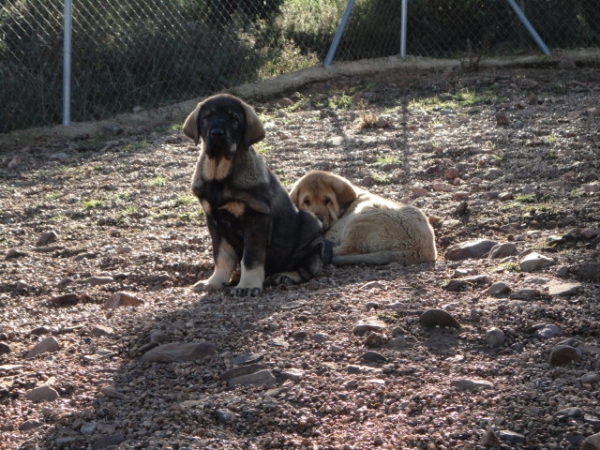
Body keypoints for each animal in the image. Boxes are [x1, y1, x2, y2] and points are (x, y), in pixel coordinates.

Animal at [184, 93, 330, 298]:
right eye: (207, 117)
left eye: (234, 119)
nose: (217, 133)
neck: (220, 176)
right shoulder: (214, 220)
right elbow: (221, 256)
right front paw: (214, 282)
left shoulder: (255, 218)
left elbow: (251, 258)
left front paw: (247, 285)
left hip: (310, 227)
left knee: (306, 270)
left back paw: (285, 276)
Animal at [288, 171, 438, 266]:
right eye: (306, 202)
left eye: (327, 200)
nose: (318, 219)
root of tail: (421, 250)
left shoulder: (334, 232)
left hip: (362, 217)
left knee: (345, 250)